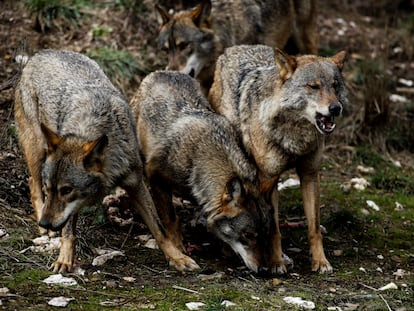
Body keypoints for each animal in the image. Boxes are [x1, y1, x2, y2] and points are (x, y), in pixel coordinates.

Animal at [14, 50, 199, 274]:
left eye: (66, 190)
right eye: (51, 189)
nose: (46, 223)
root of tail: (40, 53)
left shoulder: (136, 185)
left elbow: (159, 228)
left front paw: (177, 258)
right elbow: (68, 232)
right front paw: (64, 260)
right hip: (36, 147)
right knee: (33, 182)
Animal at [131, 70, 276, 272]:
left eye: (264, 235)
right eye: (248, 235)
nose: (263, 269)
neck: (199, 157)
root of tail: (164, 71)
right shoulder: (156, 178)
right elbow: (170, 219)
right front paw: (178, 248)